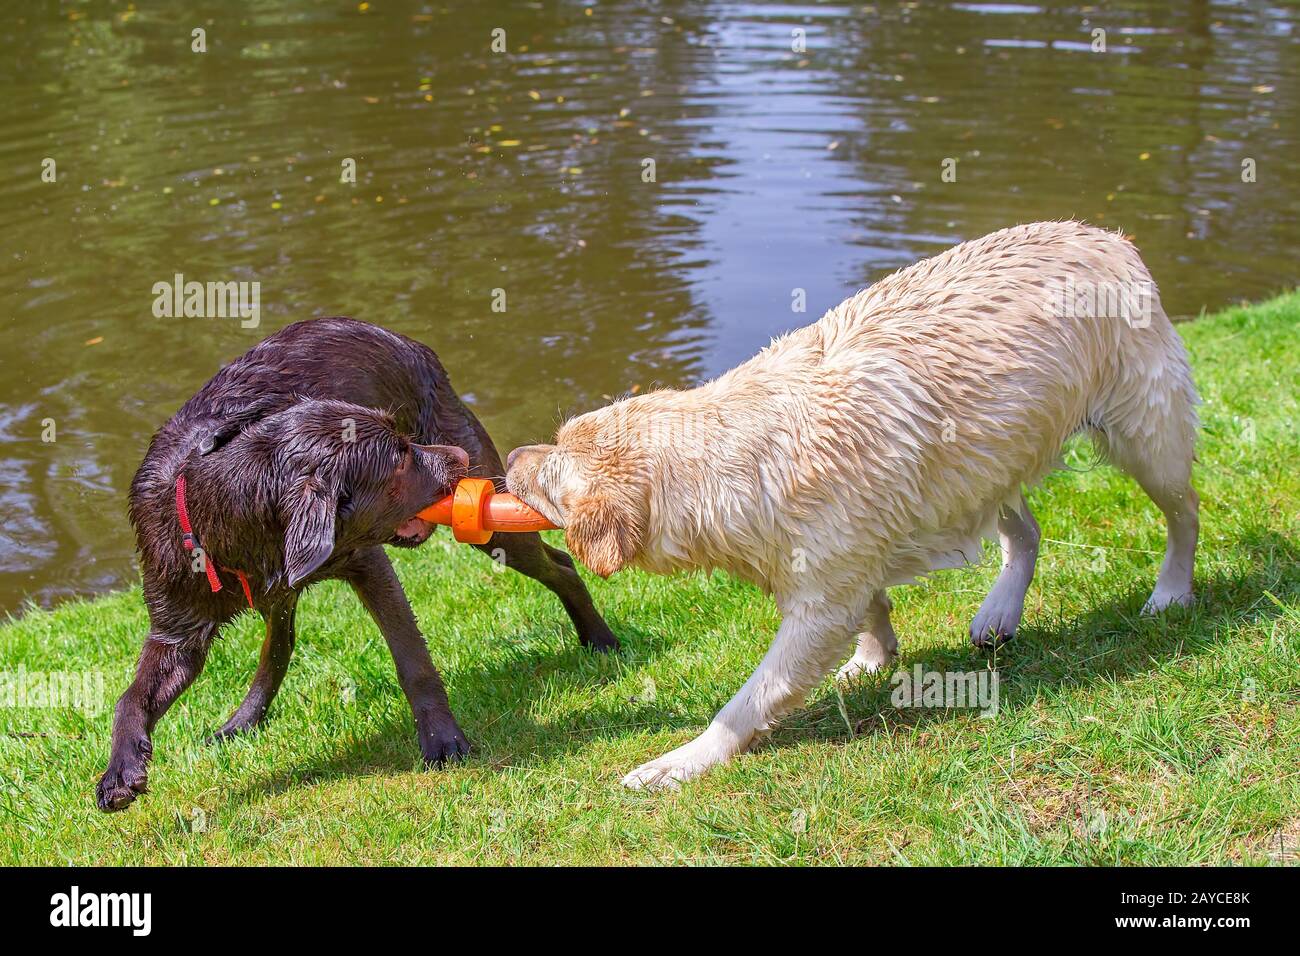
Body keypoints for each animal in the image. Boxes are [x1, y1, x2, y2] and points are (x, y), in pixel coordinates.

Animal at [504, 223, 1196, 790]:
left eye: (552, 473)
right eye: (555, 438)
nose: (507, 457)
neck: (732, 461)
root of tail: (1105, 235)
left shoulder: (818, 601)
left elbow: (751, 698)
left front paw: (683, 760)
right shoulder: (838, 560)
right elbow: (871, 604)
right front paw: (872, 657)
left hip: (1144, 434)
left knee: (1184, 512)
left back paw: (1171, 590)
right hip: (982, 458)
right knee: (1024, 529)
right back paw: (999, 609)